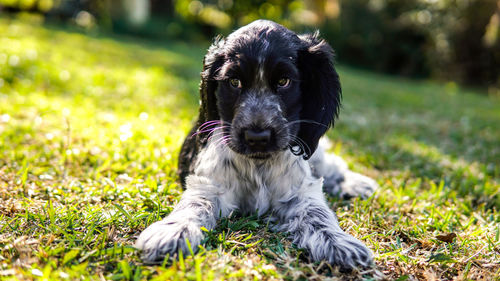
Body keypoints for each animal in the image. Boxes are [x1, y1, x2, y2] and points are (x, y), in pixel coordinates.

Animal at [137, 19, 378, 270]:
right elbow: (195, 203)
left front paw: (338, 242)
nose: (257, 137)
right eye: (234, 82)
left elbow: (317, 212)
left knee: (332, 165)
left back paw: (357, 184)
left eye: (284, 82)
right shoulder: (211, 185)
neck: (258, 165)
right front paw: (173, 232)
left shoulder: (299, 190)